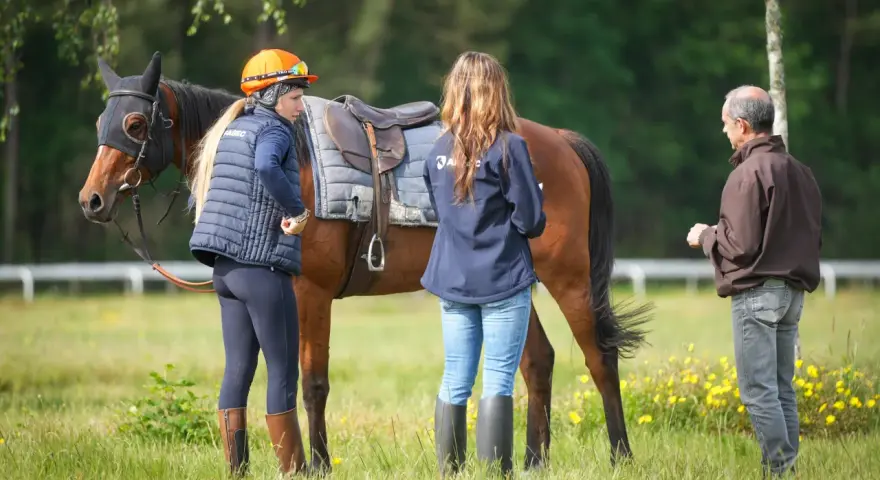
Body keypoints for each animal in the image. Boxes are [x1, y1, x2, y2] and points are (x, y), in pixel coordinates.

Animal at [77, 51, 653, 472]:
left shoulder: (311, 294)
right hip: (511, 284)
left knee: (599, 357)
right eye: (101, 120)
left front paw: (319, 464)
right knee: (538, 361)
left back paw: (620, 454)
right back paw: (533, 461)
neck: (296, 159)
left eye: (134, 122)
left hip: (568, 278)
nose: (92, 200)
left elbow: (311, 383)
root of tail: (561, 142)